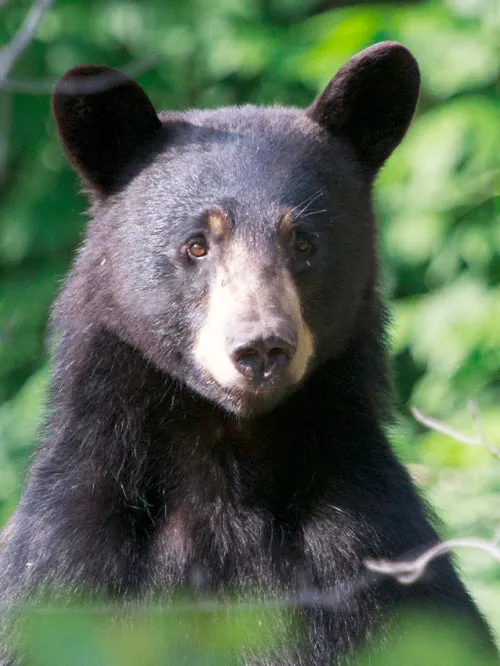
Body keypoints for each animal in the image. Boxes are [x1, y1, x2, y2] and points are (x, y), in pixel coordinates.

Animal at [0, 42, 496, 664]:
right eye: (196, 245)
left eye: (303, 241)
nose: (260, 348)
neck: (226, 468)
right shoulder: (68, 564)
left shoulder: (370, 556)